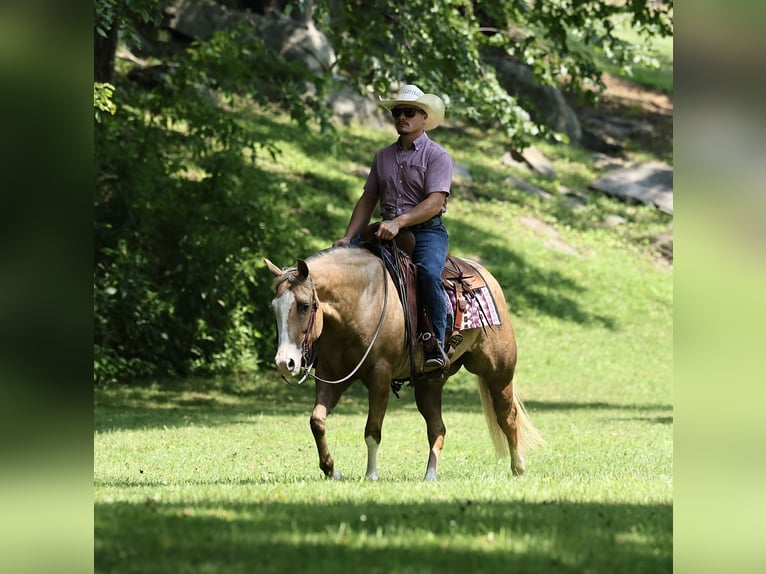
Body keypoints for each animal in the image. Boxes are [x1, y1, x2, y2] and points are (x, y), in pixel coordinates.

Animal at [265, 245, 544, 481]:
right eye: (273, 308)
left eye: (304, 305)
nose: (285, 362)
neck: (362, 301)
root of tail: (486, 277)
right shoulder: (332, 376)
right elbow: (317, 421)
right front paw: (331, 469)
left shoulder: (379, 375)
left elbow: (373, 429)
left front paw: (371, 475)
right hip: (430, 383)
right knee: (437, 428)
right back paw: (430, 475)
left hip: (498, 372)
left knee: (507, 416)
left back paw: (518, 467)